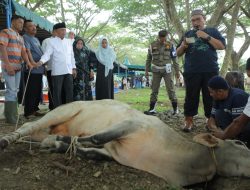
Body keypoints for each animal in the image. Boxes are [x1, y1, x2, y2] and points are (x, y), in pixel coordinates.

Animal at [0, 100, 250, 186]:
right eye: (240, 143)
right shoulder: (132, 124)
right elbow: (96, 137)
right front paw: (61, 140)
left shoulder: (114, 154)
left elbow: (90, 150)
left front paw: (59, 144)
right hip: (63, 110)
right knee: (26, 126)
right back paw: (6, 140)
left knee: (33, 132)